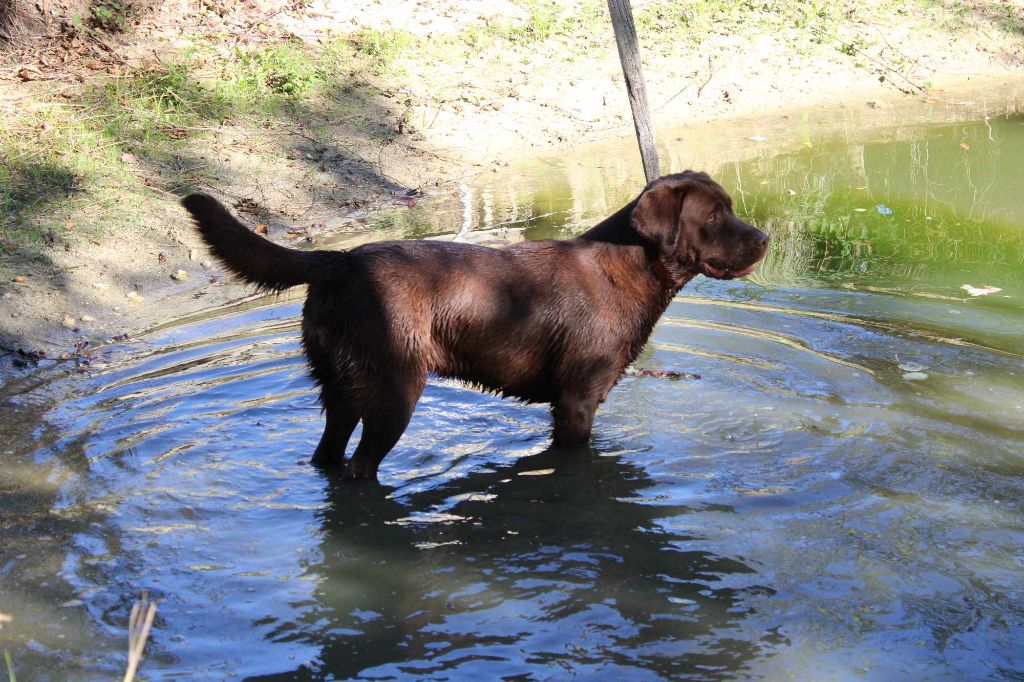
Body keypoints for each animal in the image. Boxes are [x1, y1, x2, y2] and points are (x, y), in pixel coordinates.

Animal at [184, 169, 770, 477]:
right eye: (713, 216)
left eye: (730, 207)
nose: (764, 239)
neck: (629, 268)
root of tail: (340, 261)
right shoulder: (577, 402)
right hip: (394, 393)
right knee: (359, 469)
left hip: (341, 390)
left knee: (329, 454)